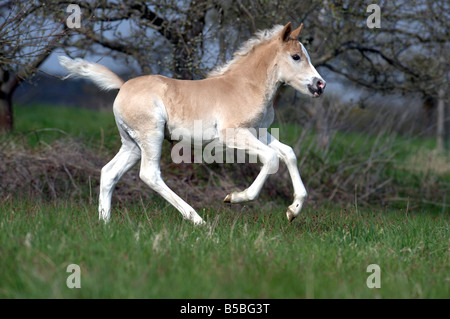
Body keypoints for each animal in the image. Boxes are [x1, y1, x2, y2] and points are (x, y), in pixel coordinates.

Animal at [60, 22, 326, 225]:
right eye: (296, 56)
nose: (320, 85)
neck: (246, 86)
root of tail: (123, 85)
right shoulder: (233, 134)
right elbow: (271, 159)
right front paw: (235, 198)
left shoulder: (258, 131)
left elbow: (288, 153)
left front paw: (293, 210)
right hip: (151, 135)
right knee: (149, 174)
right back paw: (196, 219)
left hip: (132, 144)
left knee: (109, 172)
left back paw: (105, 224)